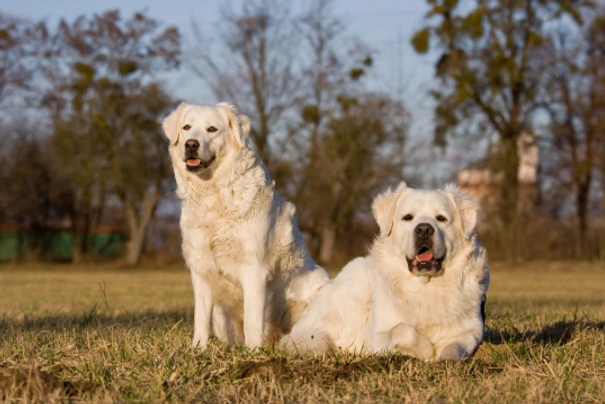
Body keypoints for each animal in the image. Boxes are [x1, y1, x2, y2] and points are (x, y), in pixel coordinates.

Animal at [162, 101, 330, 348]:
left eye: (212, 129)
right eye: (186, 127)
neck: (214, 192)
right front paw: (198, 349)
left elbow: (253, 319)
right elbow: (200, 320)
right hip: (221, 320)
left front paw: (253, 351)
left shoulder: (254, 269)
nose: (191, 144)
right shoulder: (201, 271)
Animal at [280, 183, 488, 360]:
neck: (426, 286)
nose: (424, 229)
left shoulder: (470, 332)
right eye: (408, 217)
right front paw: (426, 352)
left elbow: (453, 349)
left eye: (442, 218)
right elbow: (403, 331)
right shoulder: (377, 337)